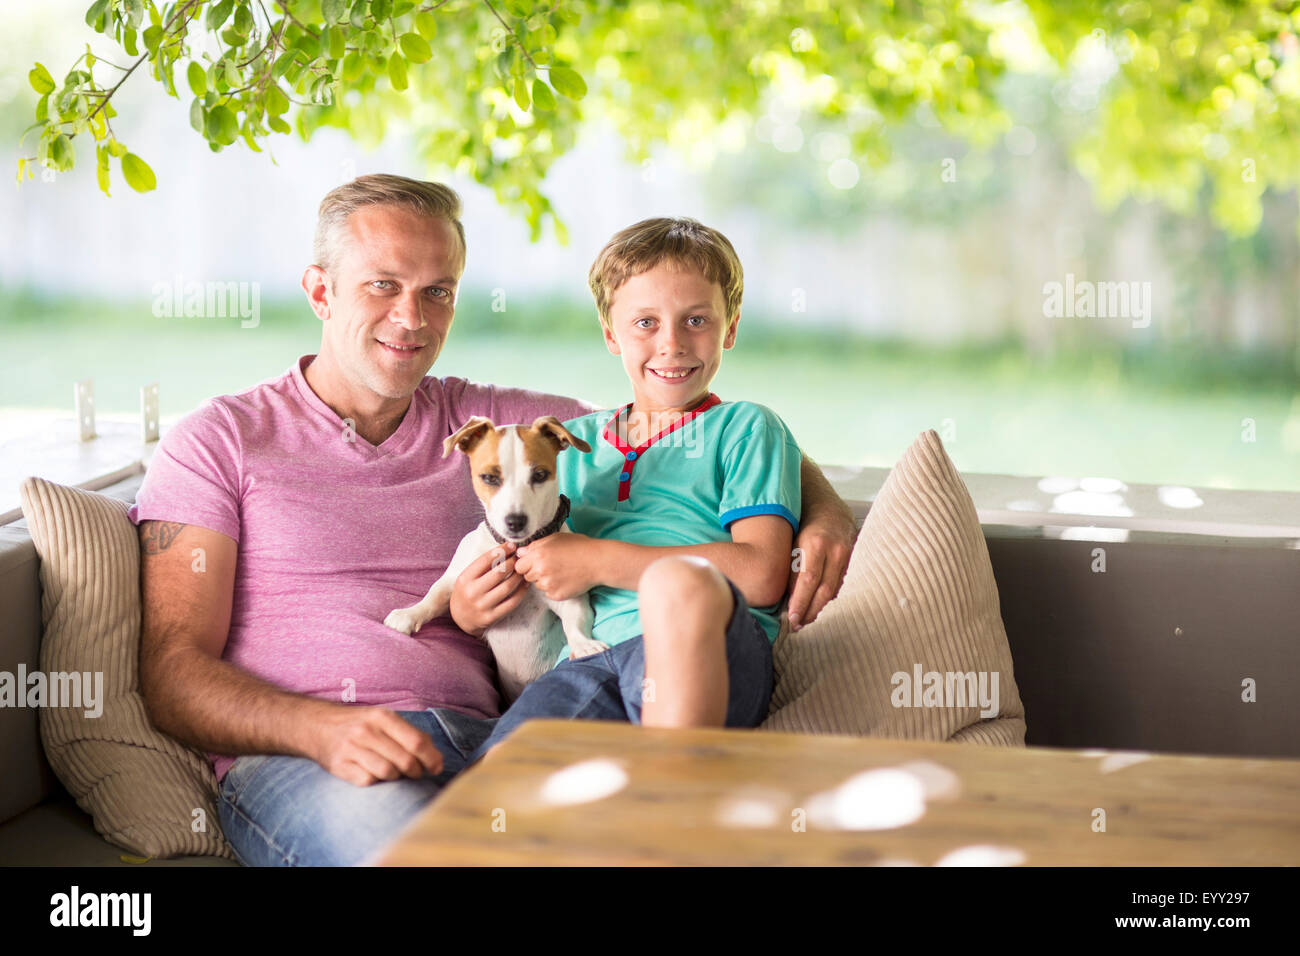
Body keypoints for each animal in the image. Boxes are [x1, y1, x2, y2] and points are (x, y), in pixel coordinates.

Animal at [384, 413, 608, 702]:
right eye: (489, 478)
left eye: (539, 475)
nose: (515, 521)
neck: (515, 548)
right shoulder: (455, 578)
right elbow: (434, 596)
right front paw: (409, 614)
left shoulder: (567, 596)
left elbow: (575, 622)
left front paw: (583, 644)